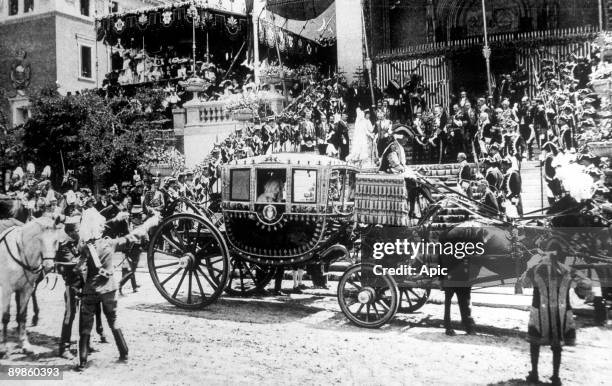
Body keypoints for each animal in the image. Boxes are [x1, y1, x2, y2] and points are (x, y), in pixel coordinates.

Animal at [0, 216, 65, 354]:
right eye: (40, 240)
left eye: (56, 241)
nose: (49, 266)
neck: (20, 252)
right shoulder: (7, 289)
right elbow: (5, 317)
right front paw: (3, 346)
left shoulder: (27, 289)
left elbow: (22, 316)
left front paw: (25, 344)